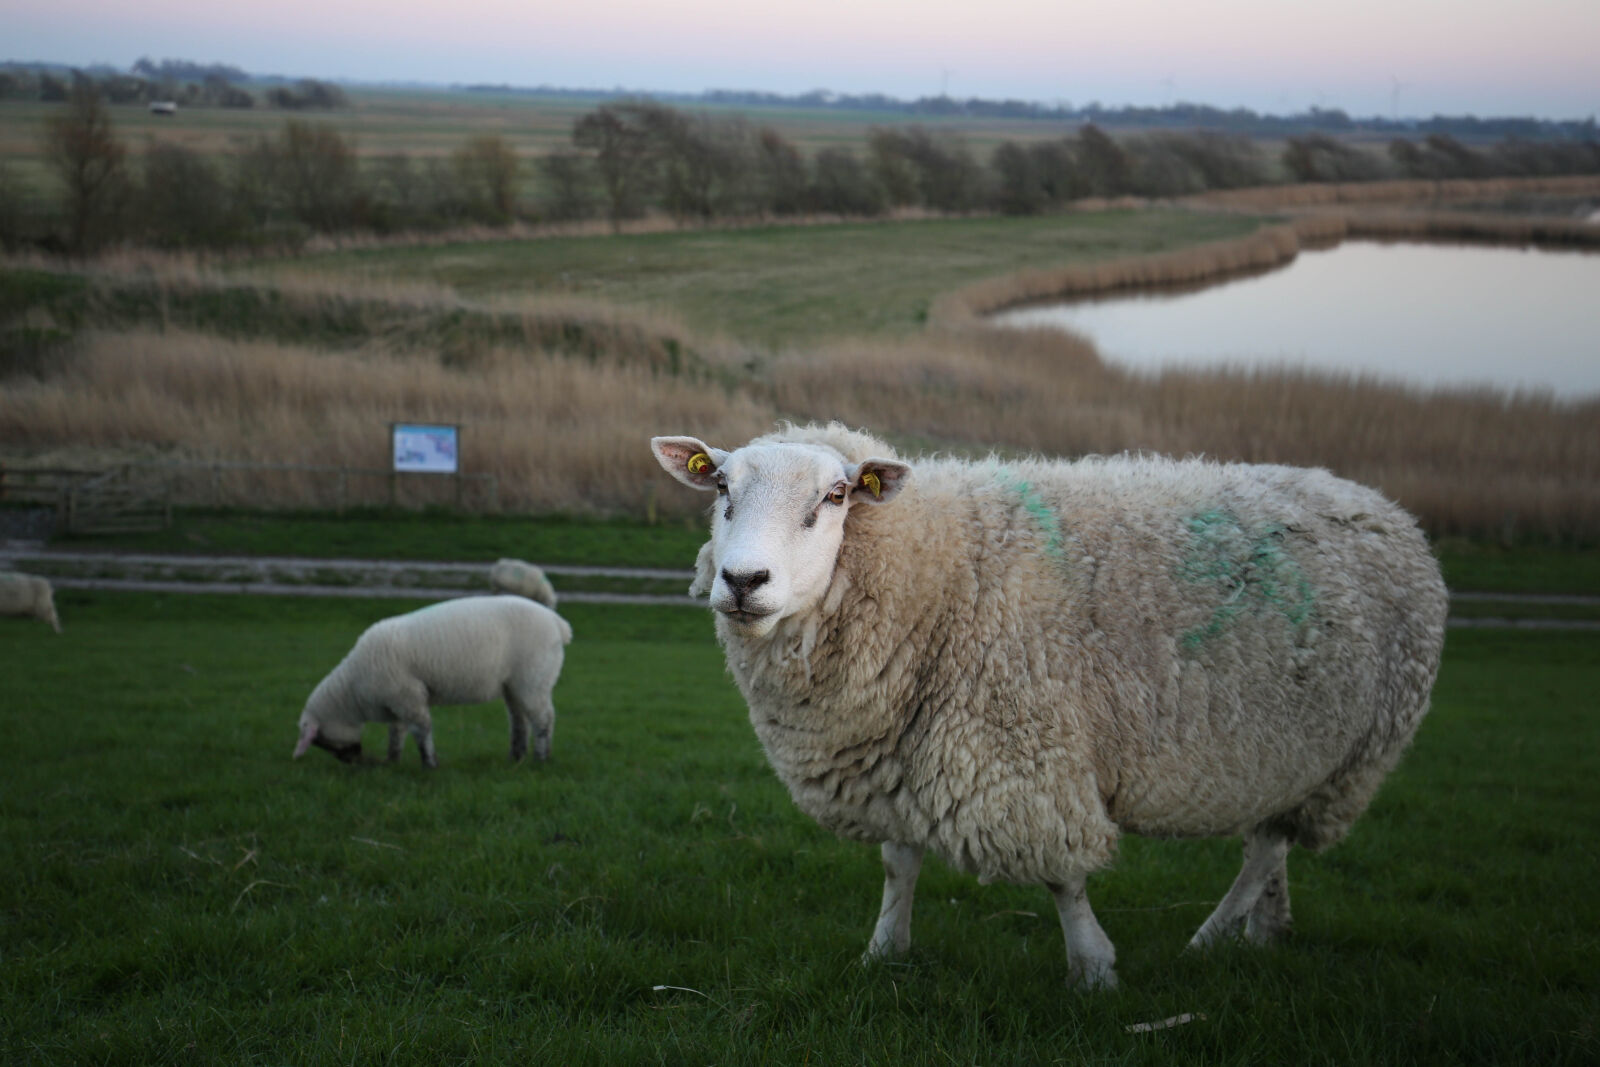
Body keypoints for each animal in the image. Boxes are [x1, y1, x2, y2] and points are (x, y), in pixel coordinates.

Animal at [293, 595, 572, 768]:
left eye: (321, 741)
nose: (353, 762)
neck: (352, 690)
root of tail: (557, 623)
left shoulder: (407, 695)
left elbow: (421, 729)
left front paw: (430, 764)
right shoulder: (396, 700)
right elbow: (397, 732)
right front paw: (391, 761)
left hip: (534, 678)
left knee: (543, 719)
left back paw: (541, 758)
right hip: (514, 684)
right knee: (519, 720)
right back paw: (516, 757)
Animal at [651, 422, 1447, 989]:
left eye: (837, 496)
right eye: (719, 488)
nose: (743, 581)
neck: (940, 572)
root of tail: (1382, 505)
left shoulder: (1026, 747)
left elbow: (1063, 874)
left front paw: (1093, 967)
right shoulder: (904, 743)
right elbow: (899, 862)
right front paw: (884, 951)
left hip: (1353, 756)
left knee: (1266, 847)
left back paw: (1210, 939)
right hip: (1293, 750)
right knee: (1269, 839)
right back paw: (1265, 932)